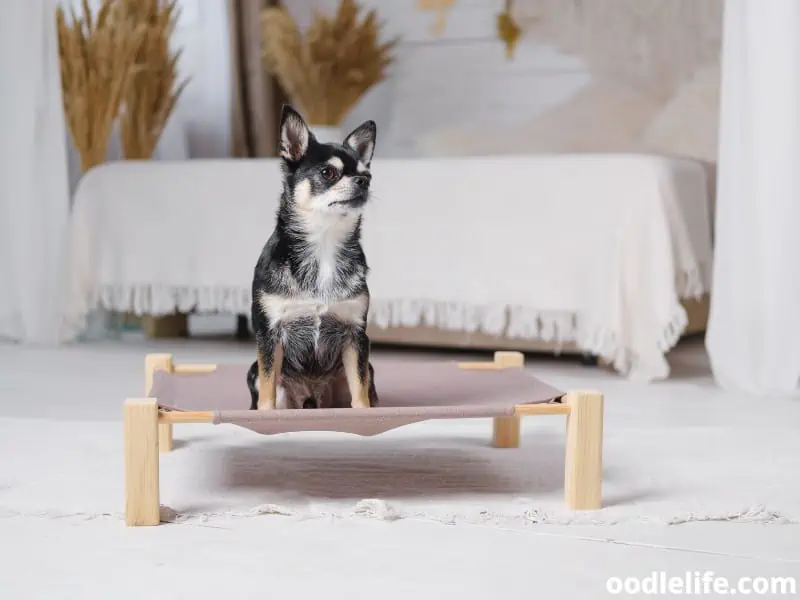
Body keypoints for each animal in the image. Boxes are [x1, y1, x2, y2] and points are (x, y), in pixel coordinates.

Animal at [245, 105, 380, 410]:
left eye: (367, 174)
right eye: (328, 172)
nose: (363, 182)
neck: (324, 244)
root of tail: (311, 396)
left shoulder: (356, 336)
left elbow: (360, 390)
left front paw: (365, 411)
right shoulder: (269, 335)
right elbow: (268, 390)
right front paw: (266, 413)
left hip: (363, 371)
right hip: (255, 373)